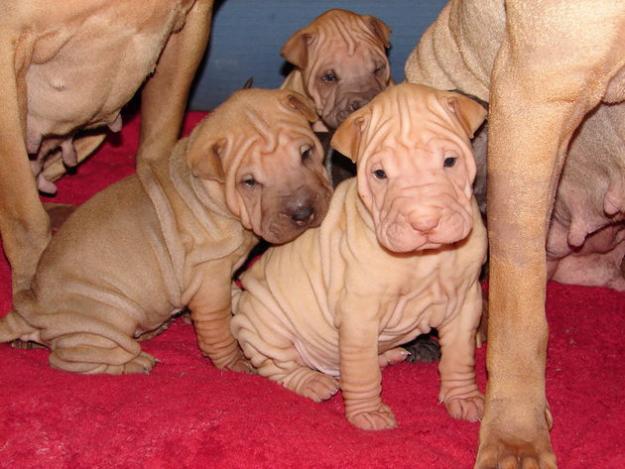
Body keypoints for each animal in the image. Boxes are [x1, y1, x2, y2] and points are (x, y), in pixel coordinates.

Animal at [0, 87, 332, 372]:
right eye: (249, 182)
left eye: (306, 153)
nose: (303, 212)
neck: (212, 194)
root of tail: (29, 308)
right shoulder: (209, 279)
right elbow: (217, 328)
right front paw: (235, 364)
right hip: (105, 320)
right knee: (70, 359)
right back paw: (132, 363)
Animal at [230, 83, 488, 428]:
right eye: (379, 174)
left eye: (450, 161)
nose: (425, 223)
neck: (424, 257)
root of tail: (240, 302)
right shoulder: (358, 316)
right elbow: (361, 372)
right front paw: (368, 413)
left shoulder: (464, 304)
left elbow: (460, 357)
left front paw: (464, 398)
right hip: (267, 329)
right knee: (278, 367)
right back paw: (313, 381)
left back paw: (389, 354)